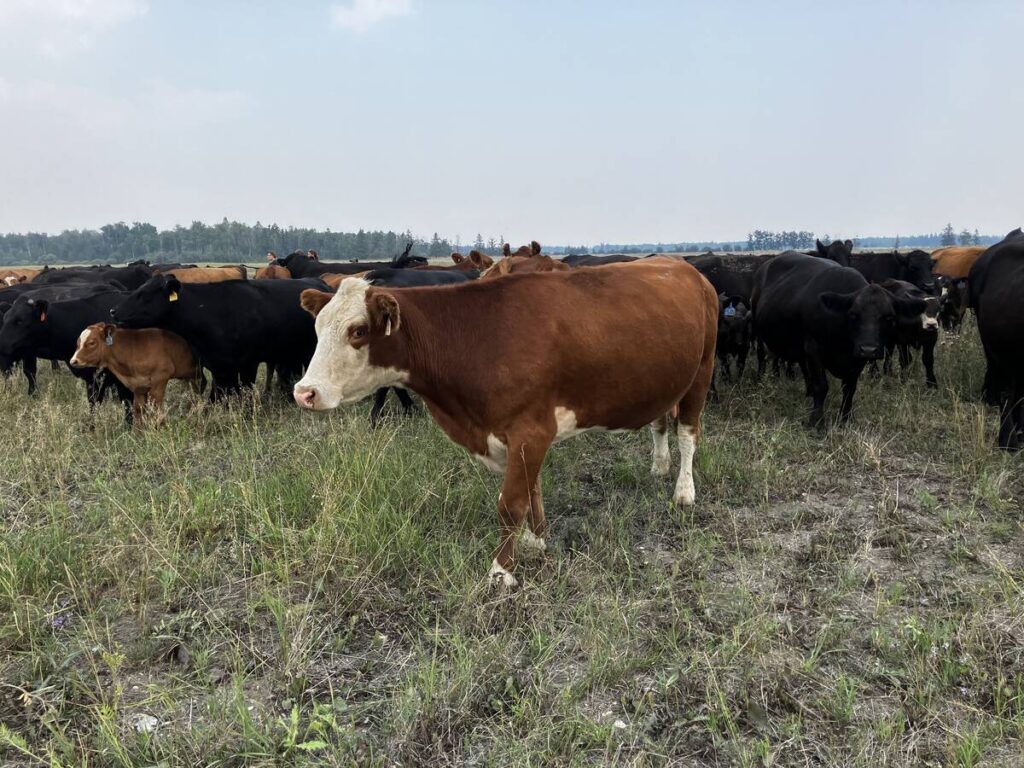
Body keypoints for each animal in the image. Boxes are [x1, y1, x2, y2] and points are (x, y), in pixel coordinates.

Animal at [70, 323, 205, 427]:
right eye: (77, 343)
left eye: (92, 342)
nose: (73, 361)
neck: (133, 350)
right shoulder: (138, 387)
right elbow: (138, 410)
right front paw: (138, 435)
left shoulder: (160, 378)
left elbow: (155, 406)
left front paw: (161, 428)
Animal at [110, 274, 327, 400]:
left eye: (144, 294)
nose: (113, 311)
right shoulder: (217, 365)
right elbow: (218, 395)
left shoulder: (248, 364)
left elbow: (245, 393)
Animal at [291, 258, 718, 587]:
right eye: (317, 328)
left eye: (359, 331)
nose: (305, 392)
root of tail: (683, 266)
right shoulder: (524, 434)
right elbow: (532, 489)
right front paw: (537, 540)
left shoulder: (531, 429)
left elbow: (511, 503)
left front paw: (502, 572)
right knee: (661, 422)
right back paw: (659, 465)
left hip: (702, 371)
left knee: (688, 433)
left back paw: (684, 491)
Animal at [752, 252, 925, 428]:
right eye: (854, 315)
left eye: (889, 317)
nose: (868, 349)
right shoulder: (814, 349)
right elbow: (821, 386)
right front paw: (817, 422)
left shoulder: (856, 359)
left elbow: (849, 388)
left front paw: (846, 418)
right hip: (758, 332)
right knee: (761, 354)